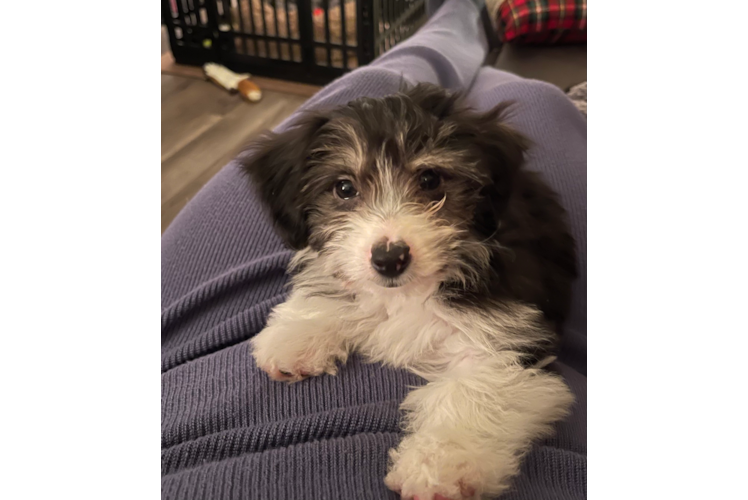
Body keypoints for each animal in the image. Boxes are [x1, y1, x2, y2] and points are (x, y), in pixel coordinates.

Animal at [241, 84, 580, 498]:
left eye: (431, 179)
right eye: (344, 188)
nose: (389, 259)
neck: (410, 291)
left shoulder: (509, 341)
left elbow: (476, 392)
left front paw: (440, 465)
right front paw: (300, 333)